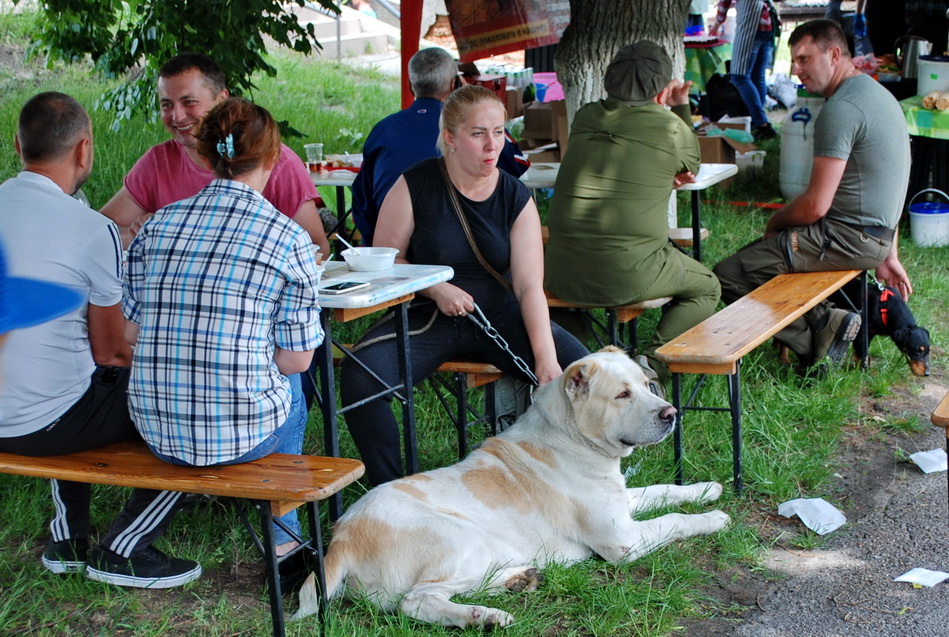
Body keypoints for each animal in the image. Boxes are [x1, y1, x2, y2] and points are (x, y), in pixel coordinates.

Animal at [292, 348, 728, 628]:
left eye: (645, 384)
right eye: (621, 394)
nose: (671, 413)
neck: (569, 436)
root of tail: (341, 538)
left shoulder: (623, 503)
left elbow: (663, 489)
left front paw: (706, 488)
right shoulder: (624, 541)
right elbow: (675, 520)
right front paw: (714, 518)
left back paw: (518, 580)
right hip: (462, 541)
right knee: (416, 602)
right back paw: (485, 617)